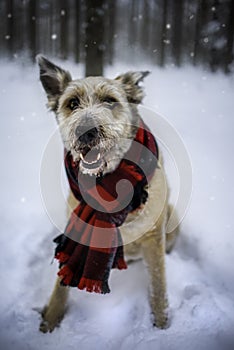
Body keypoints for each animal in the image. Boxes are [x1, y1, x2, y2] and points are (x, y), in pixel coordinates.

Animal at [37, 55, 178, 334]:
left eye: (110, 101)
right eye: (72, 103)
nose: (86, 131)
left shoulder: (154, 237)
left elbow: (158, 285)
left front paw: (161, 324)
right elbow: (60, 285)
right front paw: (50, 321)